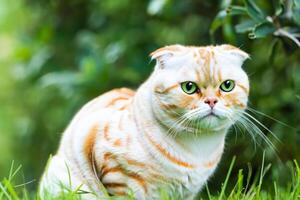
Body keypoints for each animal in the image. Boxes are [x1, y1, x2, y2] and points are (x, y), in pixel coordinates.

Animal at [39, 44, 250, 199]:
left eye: (227, 86)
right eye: (189, 87)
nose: (212, 101)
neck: (198, 149)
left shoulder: (188, 192)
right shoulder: (116, 174)